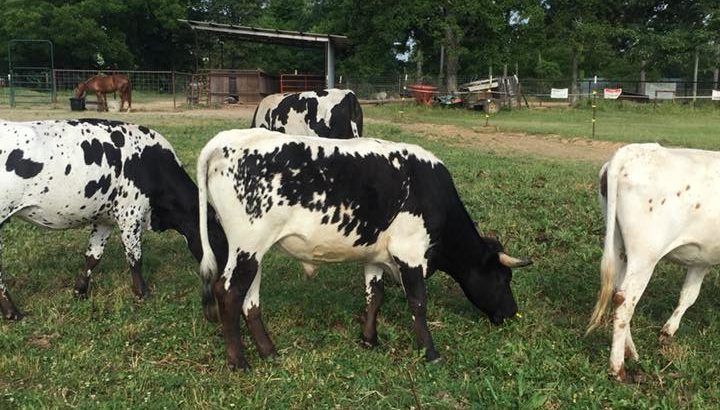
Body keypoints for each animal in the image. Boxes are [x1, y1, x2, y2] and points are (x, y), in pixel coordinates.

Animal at [0, 119, 227, 321]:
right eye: (218, 237)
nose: (225, 273)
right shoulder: (130, 213)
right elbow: (135, 256)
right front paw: (142, 293)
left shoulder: (105, 219)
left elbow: (93, 256)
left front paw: (80, 290)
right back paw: (12, 312)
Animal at [197, 128, 531, 370]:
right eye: (503, 278)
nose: (511, 313)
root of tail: (226, 140)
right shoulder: (410, 252)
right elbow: (418, 303)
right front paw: (430, 352)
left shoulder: (376, 256)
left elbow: (375, 296)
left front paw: (370, 339)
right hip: (248, 246)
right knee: (228, 293)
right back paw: (238, 361)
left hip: (252, 251)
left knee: (249, 301)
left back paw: (268, 351)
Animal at [588, 143, 720, 381]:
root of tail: (632, 151)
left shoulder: (702, 258)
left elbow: (689, 295)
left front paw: (668, 330)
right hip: (645, 255)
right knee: (625, 300)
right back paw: (617, 368)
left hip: (619, 247)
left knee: (618, 293)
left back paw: (631, 352)